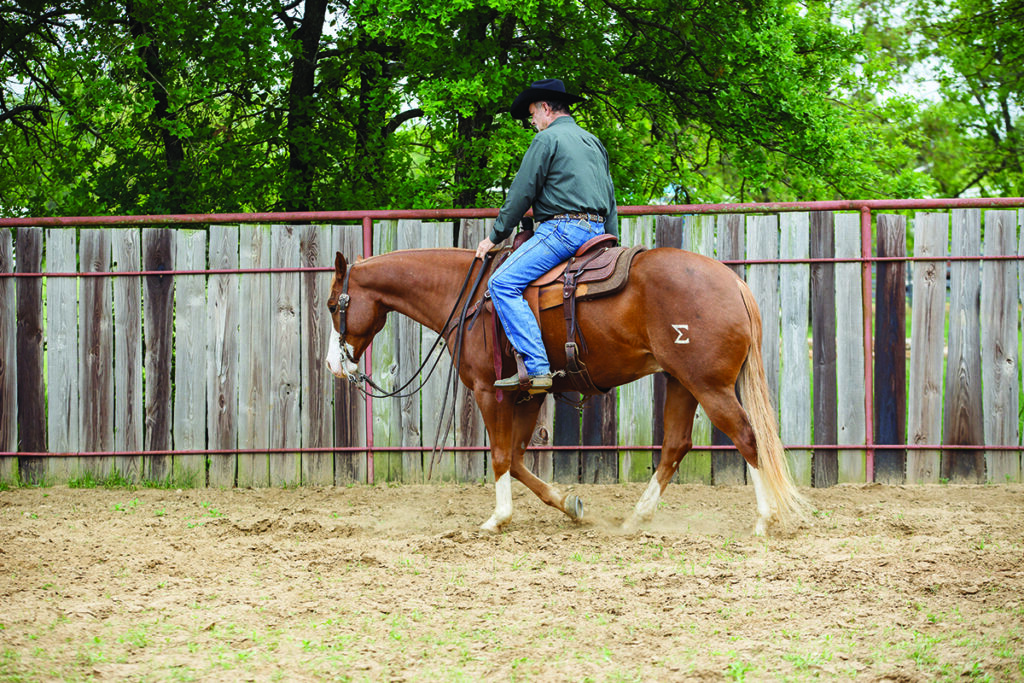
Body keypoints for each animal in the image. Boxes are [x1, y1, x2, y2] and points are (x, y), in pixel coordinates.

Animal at [325, 242, 806, 536]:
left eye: (333, 304)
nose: (333, 365)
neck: (472, 299)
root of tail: (735, 283)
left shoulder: (489, 390)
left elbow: (500, 456)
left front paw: (497, 518)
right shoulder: (528, 394)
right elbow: (518, 458)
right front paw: (567, 503)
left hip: (708, 385)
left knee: (746, 437)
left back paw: (763, 520)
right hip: (681, 382)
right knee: (675, 446)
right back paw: (636, 518)